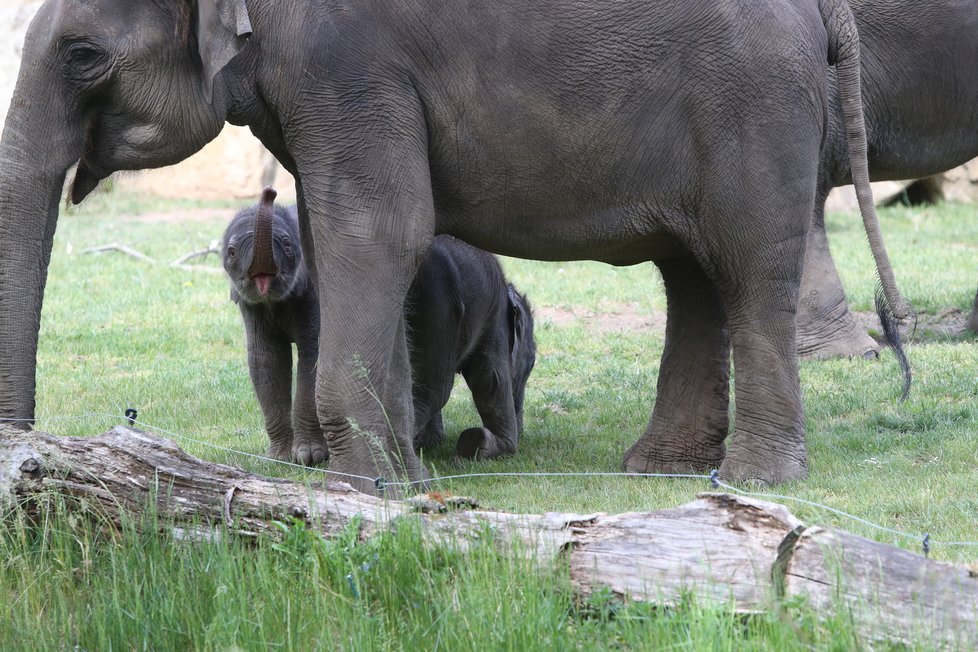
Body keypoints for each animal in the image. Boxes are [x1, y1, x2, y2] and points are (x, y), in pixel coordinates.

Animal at [221, 188, 532, 464]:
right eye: (231, 253)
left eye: (287, 245)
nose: (269, 192)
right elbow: (265, 361)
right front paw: (282, 458)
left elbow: (311, 355)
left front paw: (309, 457)